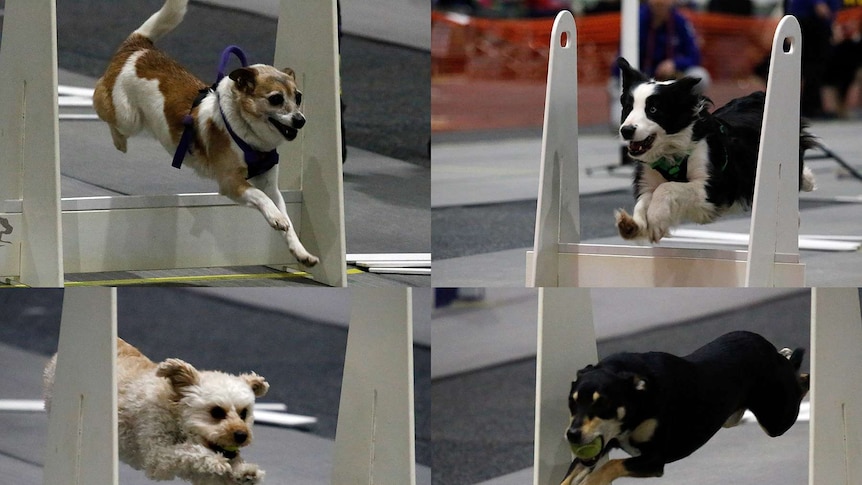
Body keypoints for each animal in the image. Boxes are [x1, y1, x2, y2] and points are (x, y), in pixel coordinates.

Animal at [43, 338, 270, 482]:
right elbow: (190, 452)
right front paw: (216, 460)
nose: (241, 435)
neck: (174, 410)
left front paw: (244, 471)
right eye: (216, 412)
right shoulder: (158, 456)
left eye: (244, 413)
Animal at [93, 0, 320, 264]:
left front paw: (301, 251)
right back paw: (119, 140)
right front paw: (276, 218)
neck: (248, 135)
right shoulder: (232, 183)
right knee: (101, 102)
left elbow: (285, 217)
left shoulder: (271, 186)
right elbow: (261, 198)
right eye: (276, 99)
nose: (300, 120)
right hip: (127, 116)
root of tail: (138, 47)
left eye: (298, 97)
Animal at [568, 330, 808, 484]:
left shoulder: (655, 460)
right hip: (732, 418)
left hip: (777, 419)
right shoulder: (600, 447)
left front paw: (593, 481)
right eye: (572, 402)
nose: (572, 434)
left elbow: (611, 465)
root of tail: (770, 349)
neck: (638, 400)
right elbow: (572, 473)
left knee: (803, 379)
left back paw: (793, 359)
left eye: (602, 404)